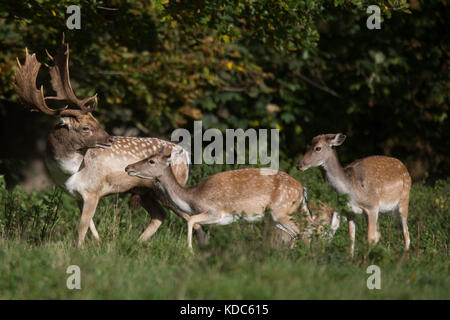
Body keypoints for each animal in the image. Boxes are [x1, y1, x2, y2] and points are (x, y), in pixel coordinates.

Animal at [13, 35, 204, 248]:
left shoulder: (93, 190)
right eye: (86, 127)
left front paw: (79, 249)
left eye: (96, 121)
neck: (68, 173)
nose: (109, 139)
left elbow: (82, 227)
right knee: (160, 215)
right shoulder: (77, 196)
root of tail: (185, 154)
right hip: (144, 191)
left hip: (168, 188)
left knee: (191, 217)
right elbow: (89, 225)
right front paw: (98, 243)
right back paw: (136, 243)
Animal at [125, 148, 312, 250]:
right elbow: (195, 223)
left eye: (151, 161)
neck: (192, 198)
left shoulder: (215, 212)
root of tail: (302, 190)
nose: (128, 167)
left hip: (281, 210)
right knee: (297, 233)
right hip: (276, 216)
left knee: (303, 232)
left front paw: (190, 250)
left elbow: (191, 220)